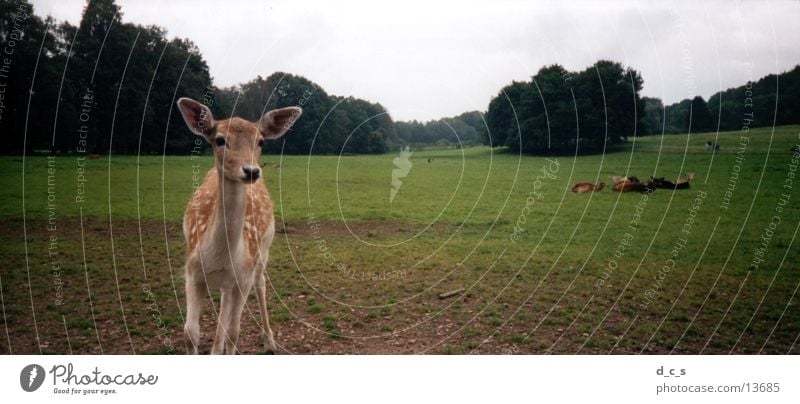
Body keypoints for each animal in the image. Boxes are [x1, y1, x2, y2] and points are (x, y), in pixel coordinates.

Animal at [177, 97, 302, 354]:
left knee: (261, 283)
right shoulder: (192, 271)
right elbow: (190, 333)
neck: (220, 257)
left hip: (263, 251)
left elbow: (233, 333)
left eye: (261, 141)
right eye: (219, 140)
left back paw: (269, 339)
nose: (251, 170)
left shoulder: (244, 276)